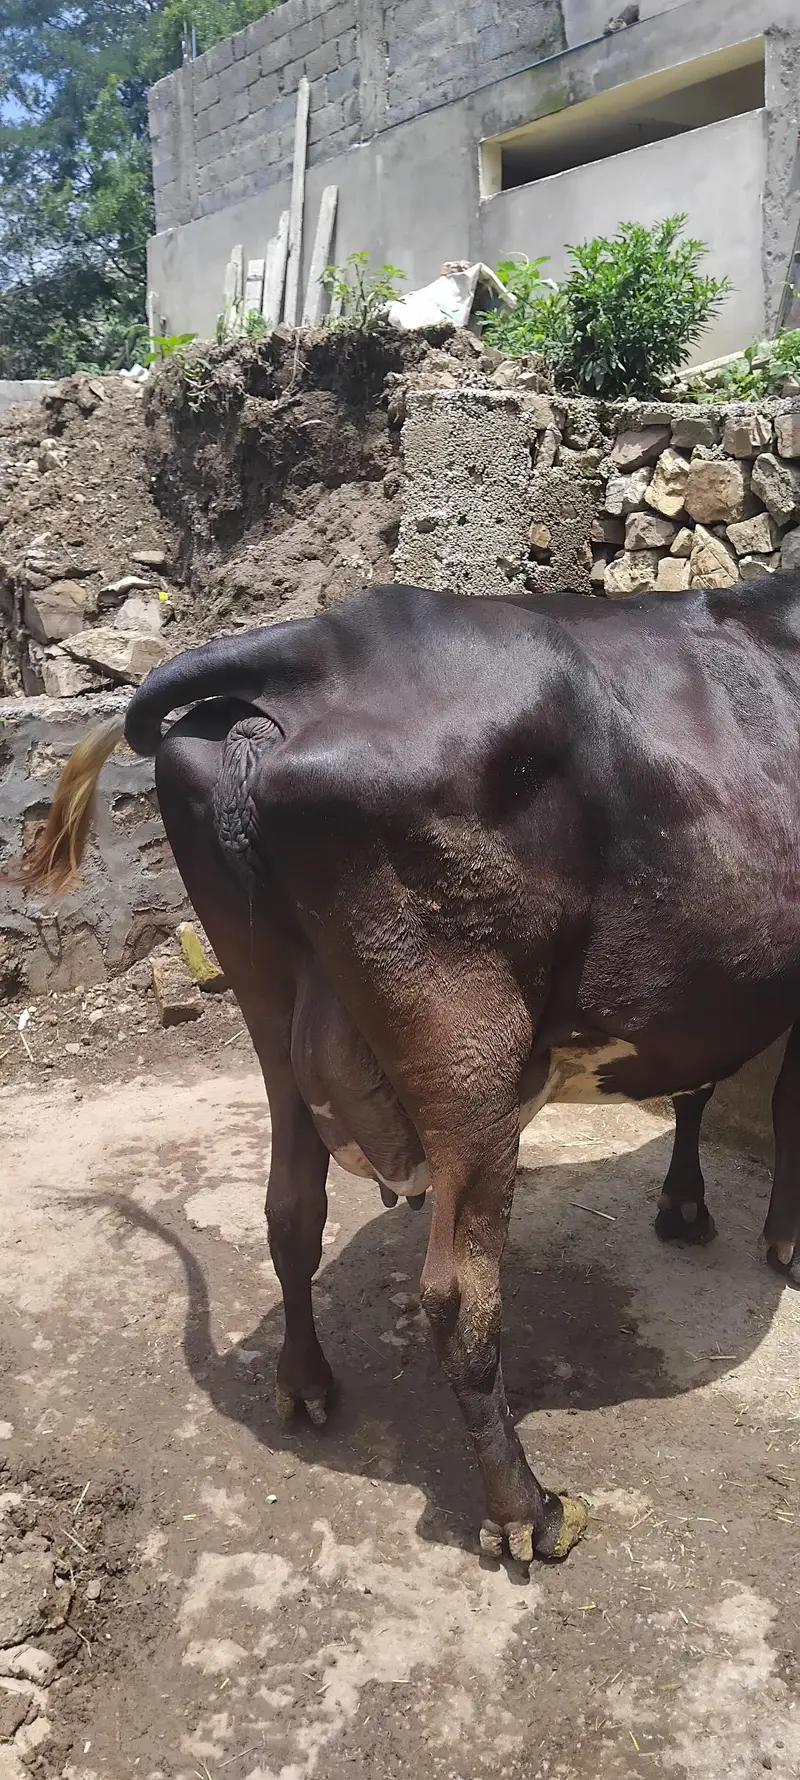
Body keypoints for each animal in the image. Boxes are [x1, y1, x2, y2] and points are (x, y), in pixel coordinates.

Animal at [17, 577, 800, 1567]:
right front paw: (780, 1242)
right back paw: (527, 1511)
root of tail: (323, 641)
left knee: (291, 1212)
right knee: (460, 1291)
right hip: (467, 1044)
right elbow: (782, 1098)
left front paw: (686, 1208)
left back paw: (306, 1385)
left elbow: (699, 1083)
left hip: (267, 1005)